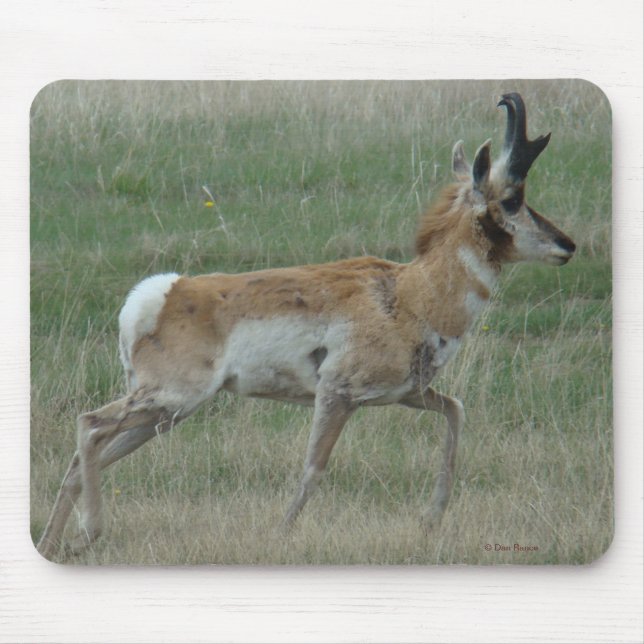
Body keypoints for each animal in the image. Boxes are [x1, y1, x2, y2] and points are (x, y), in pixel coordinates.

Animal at [36, 93, 576, 559]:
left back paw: (55, 543)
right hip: (171, 399)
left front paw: (431, 519)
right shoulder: (337, 393)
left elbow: (456, 411)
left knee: (84, 457)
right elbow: (314, 468)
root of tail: (162, 294)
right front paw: (280, 533)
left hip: (166, 414)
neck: (410, 294)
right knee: (88, 425)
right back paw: (88, 533)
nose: (567, 245)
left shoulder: (406, 393)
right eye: (513, 198)